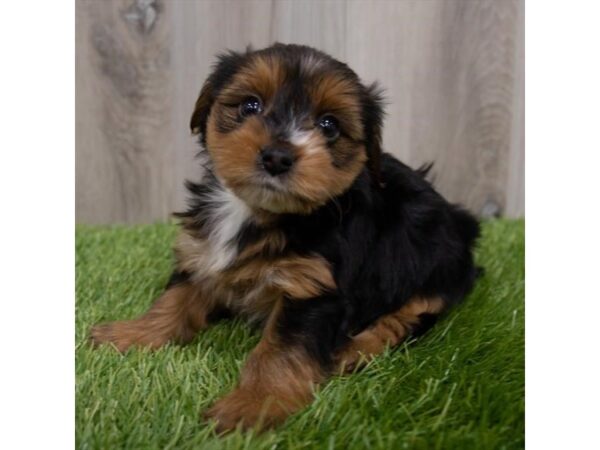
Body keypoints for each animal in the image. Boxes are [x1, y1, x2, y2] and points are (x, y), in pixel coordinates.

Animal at [90, 43, 482, 432]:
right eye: (250, 105)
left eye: (329, 125)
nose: (277, 156)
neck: (256, 212)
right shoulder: (202, 254)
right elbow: (174, 300)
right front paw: (131, 334)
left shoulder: (313, 286)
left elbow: (281, 349)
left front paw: (254, 405)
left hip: (436, 264)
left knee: (412, 314)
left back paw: (352, 351)